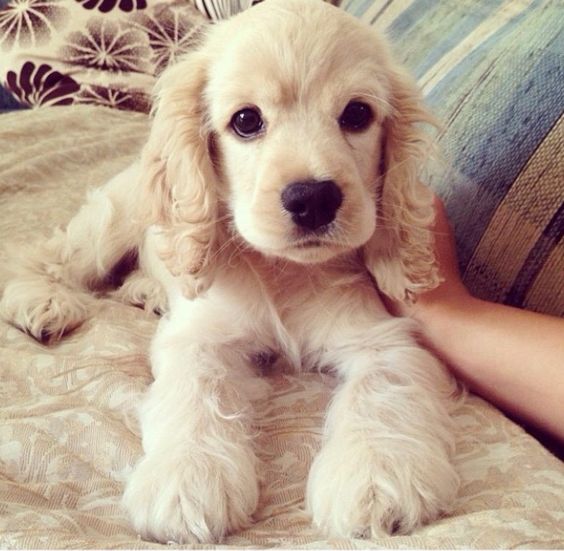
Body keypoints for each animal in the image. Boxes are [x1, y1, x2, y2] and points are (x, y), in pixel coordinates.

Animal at [0, 0, 460, 544]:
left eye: (357, 114)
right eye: (246, 120)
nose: (313, 198)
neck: (282, 270)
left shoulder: (379, 336)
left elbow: (381, 388)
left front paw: (377, 474)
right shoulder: (198, 335)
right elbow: (196, 389)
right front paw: (186, 479)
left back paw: (145, 291)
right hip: (111, 222)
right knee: (47, 255)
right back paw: (43, 303)